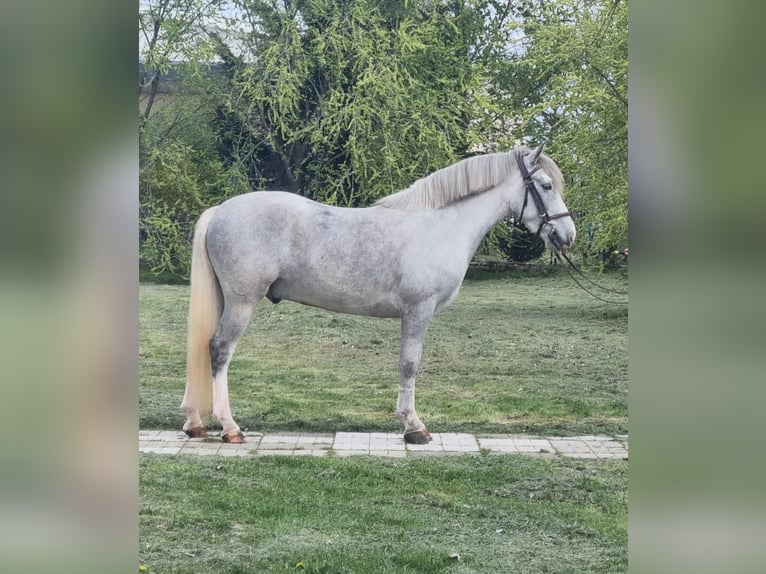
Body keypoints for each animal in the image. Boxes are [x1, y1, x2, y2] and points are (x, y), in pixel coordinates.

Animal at [181, 143, 576, 444]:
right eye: (544, 185)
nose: (567, 235)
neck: (441, 225)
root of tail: (221, 210)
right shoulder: (418, 310)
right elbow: (409, 364)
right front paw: (414, 427)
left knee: (202, 348)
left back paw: (195, 422)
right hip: (242, 302)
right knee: (219, 350)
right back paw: (229, 428)